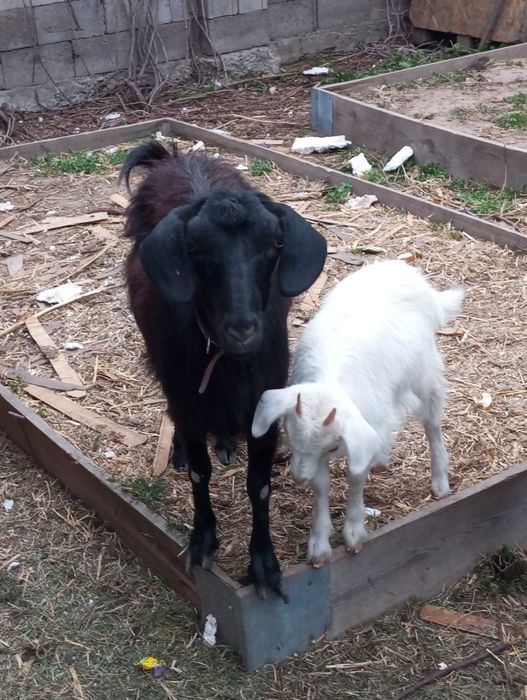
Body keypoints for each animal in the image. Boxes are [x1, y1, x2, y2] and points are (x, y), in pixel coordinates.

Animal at [120, 142, 327, 598]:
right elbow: (200, 474)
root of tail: (176, 157)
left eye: (275, 243)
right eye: (194, 249)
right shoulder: (186, 398)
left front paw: (264, 564)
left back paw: (229, 441)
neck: (228, 364)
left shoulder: (264, 406)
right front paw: (203, 540)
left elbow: (259, 485)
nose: (242, 328)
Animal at [252, 260, 463, 566]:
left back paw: (440, 482)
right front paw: (319, 545)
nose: (298, 478)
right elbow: (322, 485)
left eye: (332, 447)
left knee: (432, 423)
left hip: (426, 373)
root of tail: (408, 273)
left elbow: (355, 477)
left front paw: (353, 532)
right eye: (289, 437)